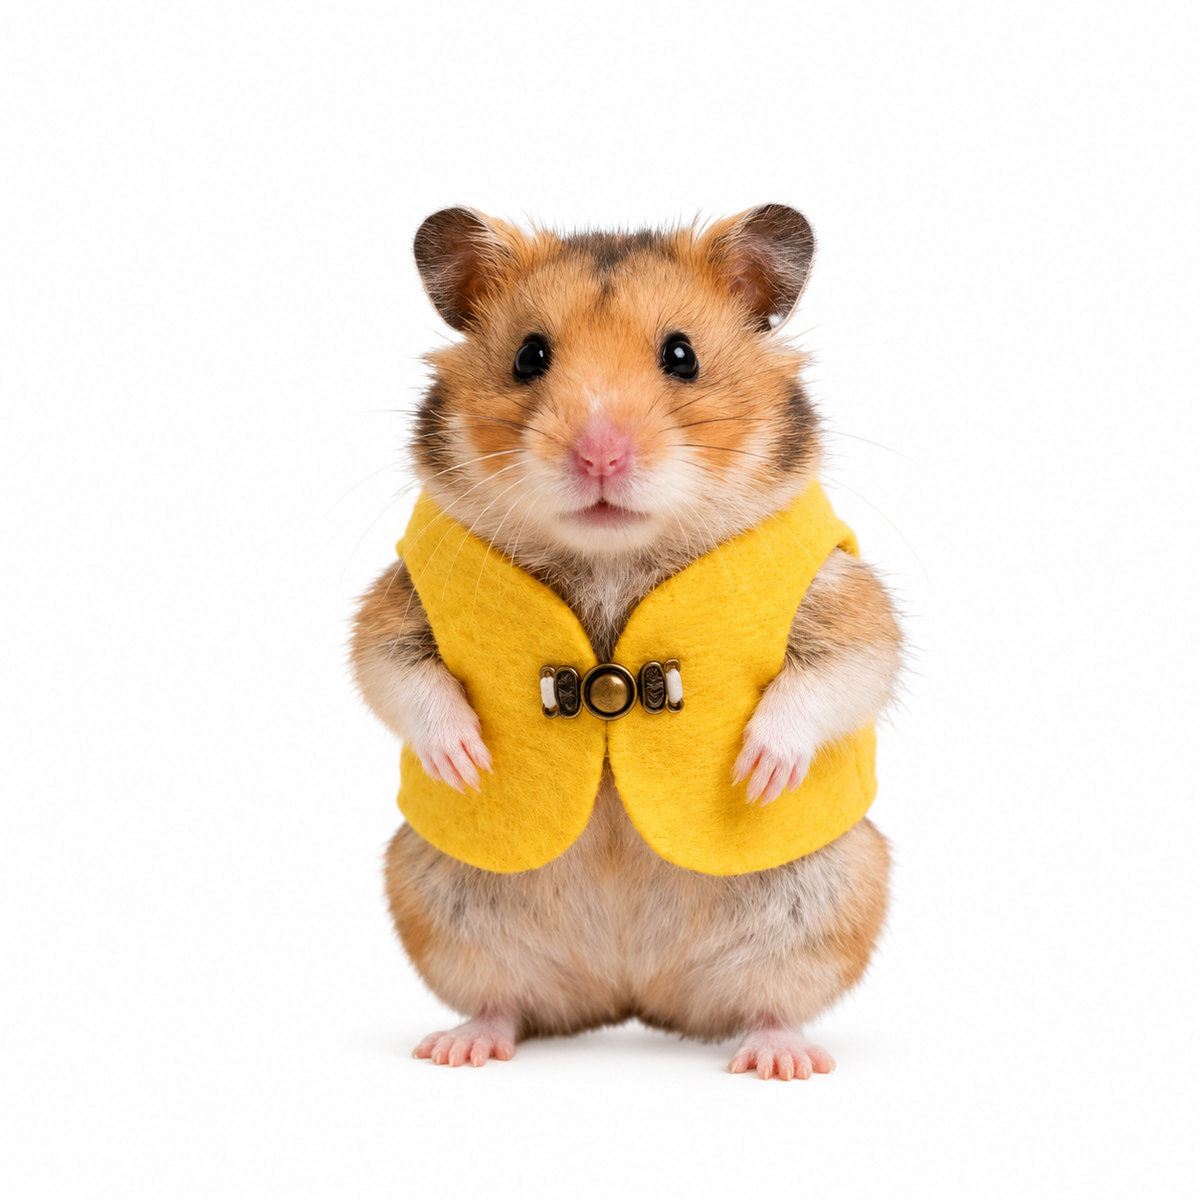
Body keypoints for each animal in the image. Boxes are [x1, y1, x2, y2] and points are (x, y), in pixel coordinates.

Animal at [351, 205, 903, 1080]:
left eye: (682, 355)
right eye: (529, 356)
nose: (600, 455)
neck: (612, 555)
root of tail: (631, 994)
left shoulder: (840, 596)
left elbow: (838, 670)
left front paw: (758, 774)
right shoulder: (401, 598)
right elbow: (396, 669)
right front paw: (465, 761)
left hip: (828, 900)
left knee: (772, 1002)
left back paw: (778, 1060)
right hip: (439, 900)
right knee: (505, 1000)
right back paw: (461, 1047)